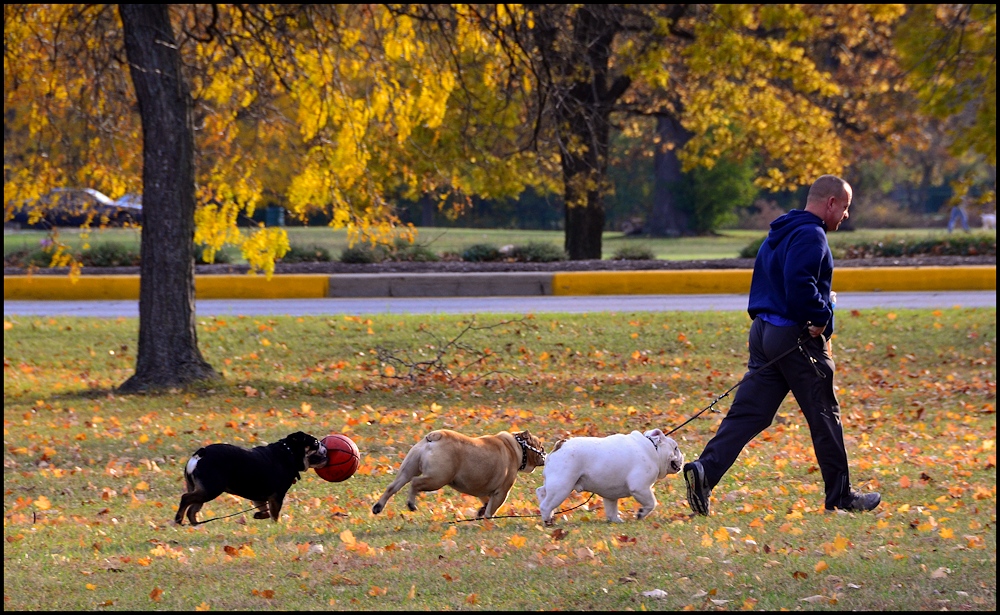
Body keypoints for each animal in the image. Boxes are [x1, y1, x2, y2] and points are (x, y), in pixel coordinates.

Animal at [174, 434, 326, 524]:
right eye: (316, 442)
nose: (324, 445)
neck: (288, 453)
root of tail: (201, 453)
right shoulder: (277, 496)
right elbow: (274, 513)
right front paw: (276, 525)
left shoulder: (260, 497)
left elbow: (265, 510)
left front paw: (259, 515)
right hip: (210, 489)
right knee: (186, 498)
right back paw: (179, 519)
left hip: (201, 490)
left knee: (192, 509)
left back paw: (195, 524)